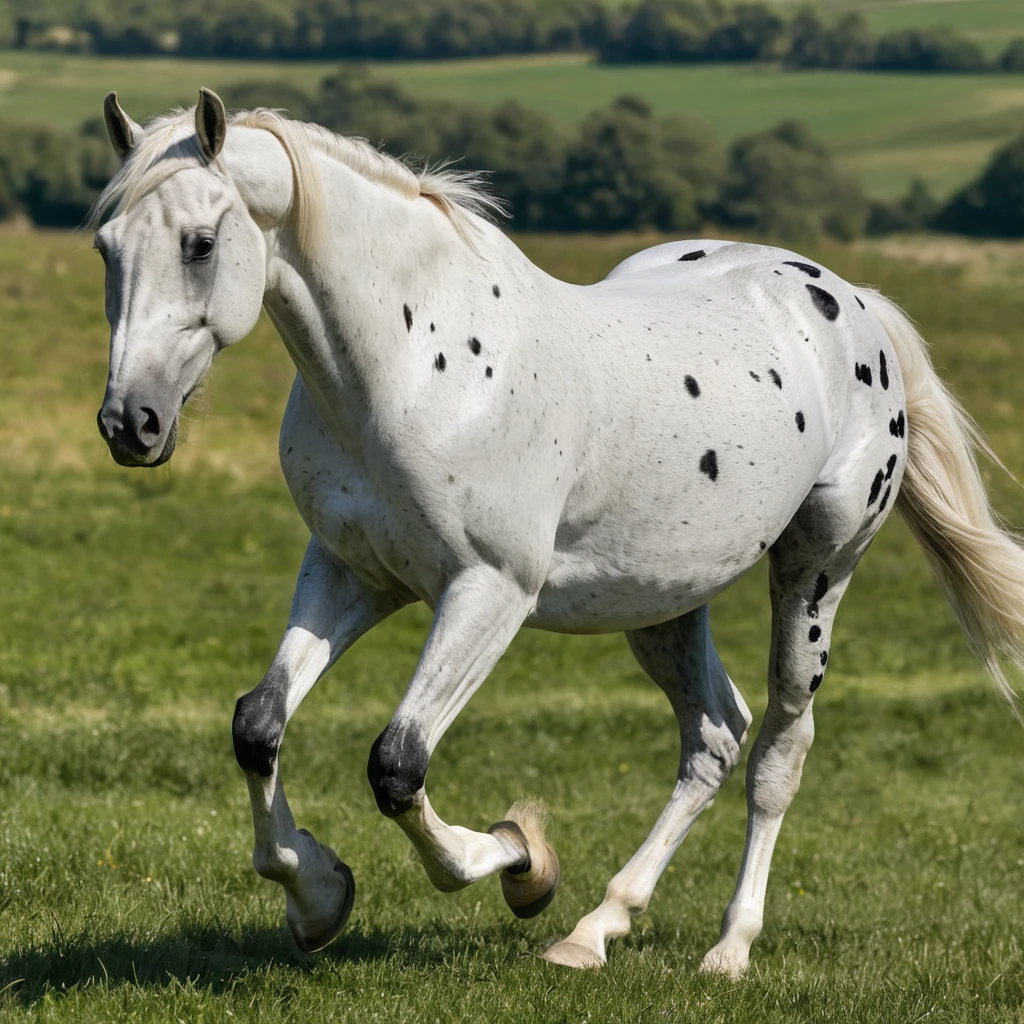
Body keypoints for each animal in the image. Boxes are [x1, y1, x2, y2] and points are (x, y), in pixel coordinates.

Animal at [91, 88, 1024, 977]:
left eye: (199, 244)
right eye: (106, 247)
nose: (130, 424)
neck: (416, 366)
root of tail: (851, 303)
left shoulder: (488, 591)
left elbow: (398, 763)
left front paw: (520, 860)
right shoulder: (351, 570)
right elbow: (259, 726)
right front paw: (319, 898)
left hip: (818, 569)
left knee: (777, 751)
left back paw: (728, 949)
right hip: (661, 601)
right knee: (714, 736)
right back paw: (594, 932)